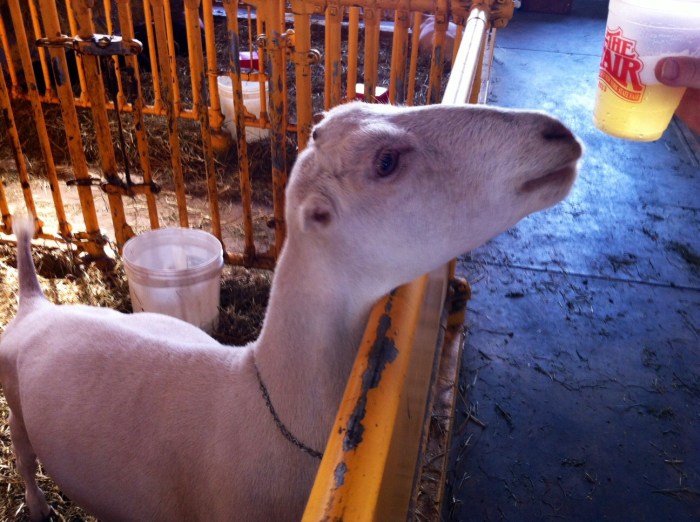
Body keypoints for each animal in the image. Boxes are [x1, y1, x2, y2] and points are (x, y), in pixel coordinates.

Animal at [0, 101, 582, 521]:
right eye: (385, 162)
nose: (557, 134)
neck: (268, 399)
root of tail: (36, 306)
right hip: (17, 407)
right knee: (25, 458)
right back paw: (36, 506)